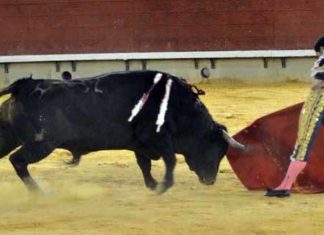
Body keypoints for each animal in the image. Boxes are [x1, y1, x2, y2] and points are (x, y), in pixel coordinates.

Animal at [0, 70, 244, 194]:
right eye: (217, 150)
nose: (210, 180)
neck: (179, 107)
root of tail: (24, 86)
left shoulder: (140, 144)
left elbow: (144, 164)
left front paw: (152, 185)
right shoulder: (157, 139)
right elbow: (171, 160)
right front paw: (163, 186)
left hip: (11, 137)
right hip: (42, 143)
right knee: (17, 160)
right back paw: (39, 191)